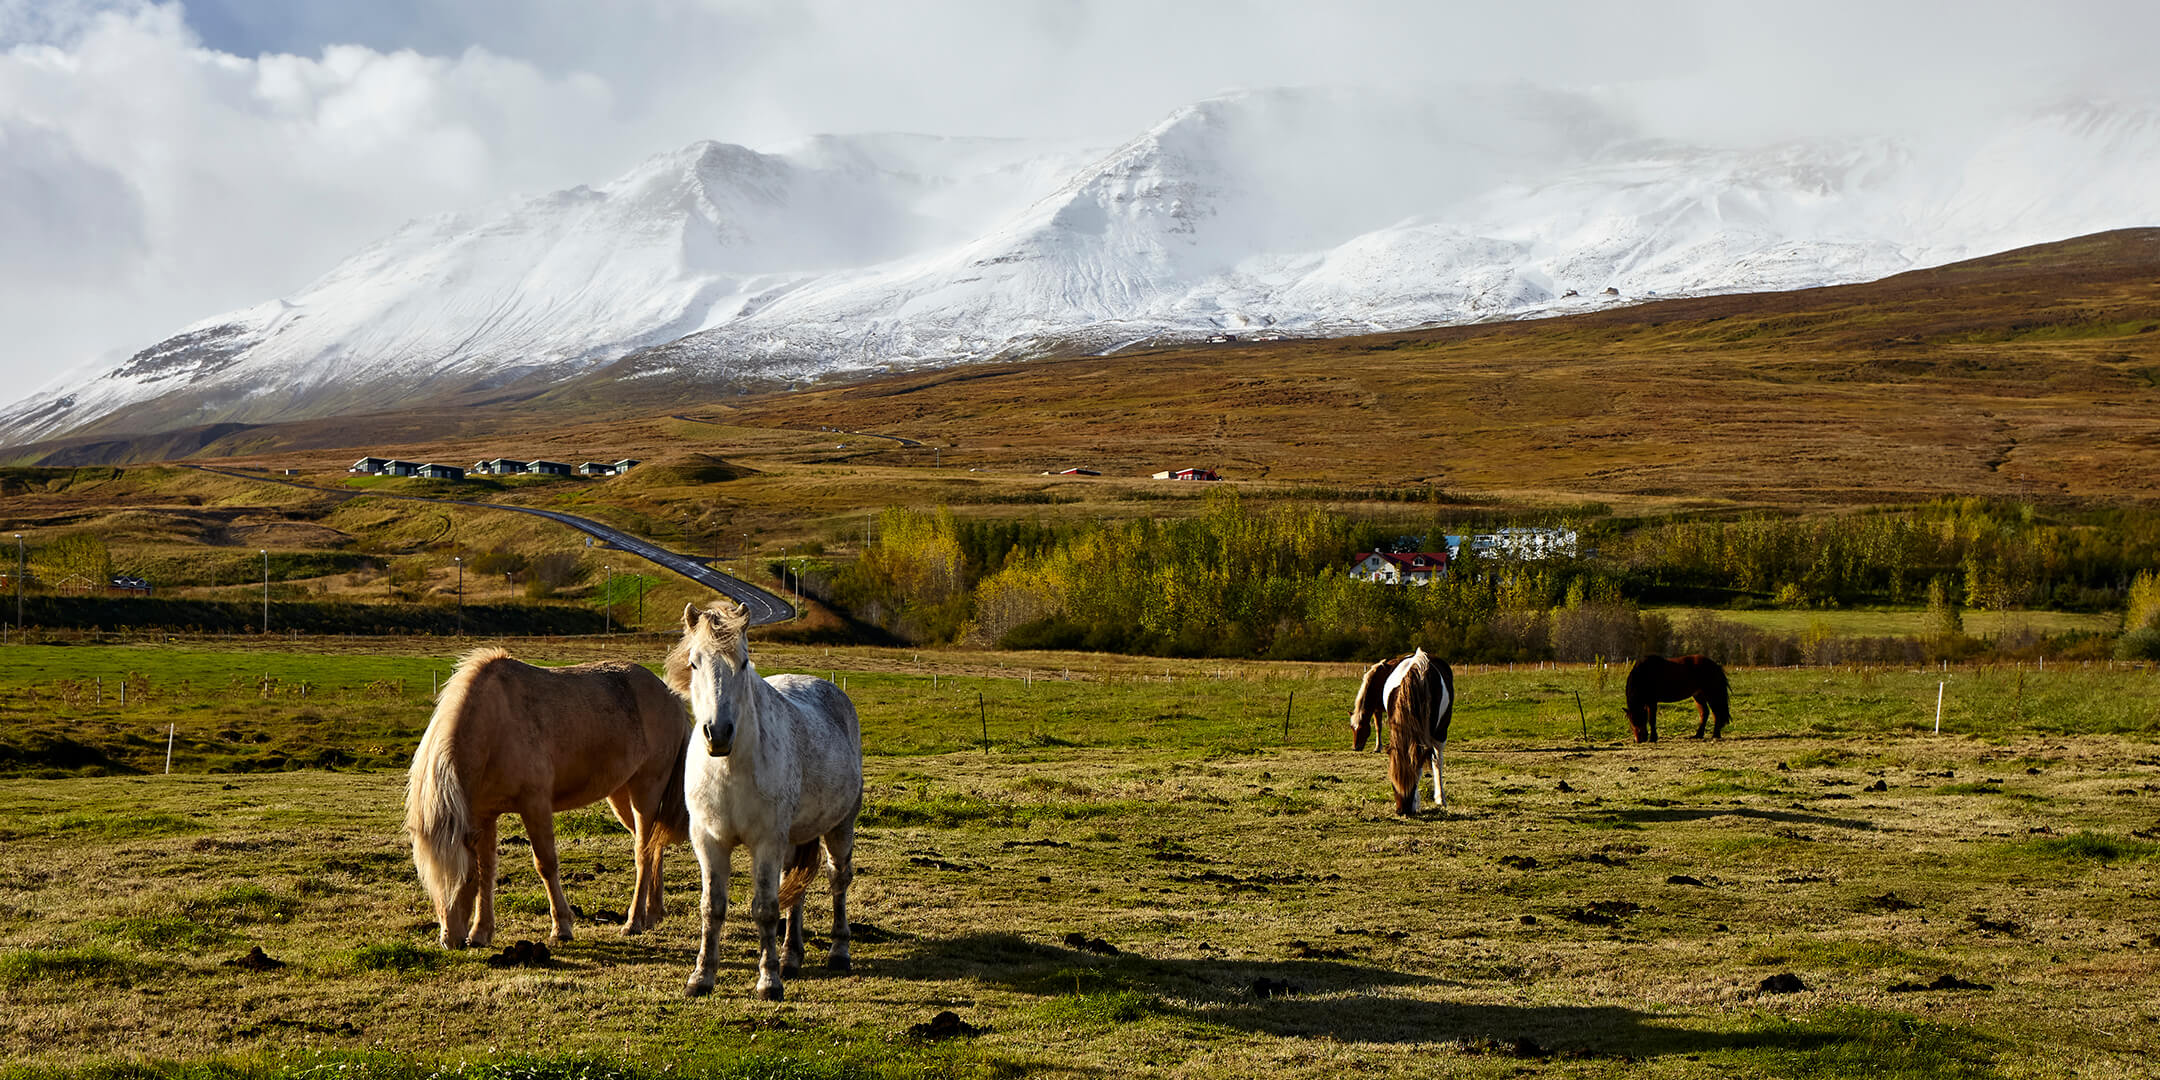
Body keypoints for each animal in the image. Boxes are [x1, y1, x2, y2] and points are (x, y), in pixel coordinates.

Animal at [405, 648, 692, 949]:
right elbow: (488, 869)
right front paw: (481, 932)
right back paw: (653, 914)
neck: (494, 725)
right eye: (428, 880)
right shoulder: (484, 815)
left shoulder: (535, 804)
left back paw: (634, 922)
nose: (451, 940)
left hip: (645, 792)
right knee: (654, 845)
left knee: (643, 853)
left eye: (465, 877)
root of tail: (670, 695)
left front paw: (561, 927)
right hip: (621, 796)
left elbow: (545, 864)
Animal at [669, 599, 863, 1002]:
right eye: (694, 663)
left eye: (743, 663)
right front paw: (701, 977)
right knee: (797, 887)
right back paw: (791, 956)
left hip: (840, 827)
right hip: (796, 838)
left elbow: (766, 910)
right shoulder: (709, 841)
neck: (730, 769)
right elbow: (712, 908)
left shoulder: (767, 842)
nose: (718, 733)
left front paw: (769, 981)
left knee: (838, 879)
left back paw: (838, 952)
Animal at [1351, 647, 1455, 815]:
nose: (1402, 810)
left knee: (1437, 760)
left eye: (1361, 729)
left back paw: (1440, 798)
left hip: (1440, 731)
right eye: (1393, 783)